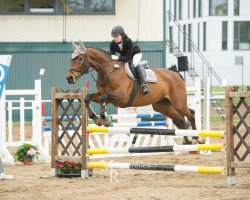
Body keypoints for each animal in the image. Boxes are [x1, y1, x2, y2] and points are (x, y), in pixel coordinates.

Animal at [66, 41, 205, 144]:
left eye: (80, 58)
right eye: (71, 59)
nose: (69, 78)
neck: (108, 70)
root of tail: (175, 73)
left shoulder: (121, 97)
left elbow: (102, 98)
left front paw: (105, 119)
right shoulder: (108, 97)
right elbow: (88, 98)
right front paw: (97, 119)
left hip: (178, 103)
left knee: (191, 113)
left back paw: (198, 138)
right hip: (162, 105)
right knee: (180, 119)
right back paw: (188, 138)